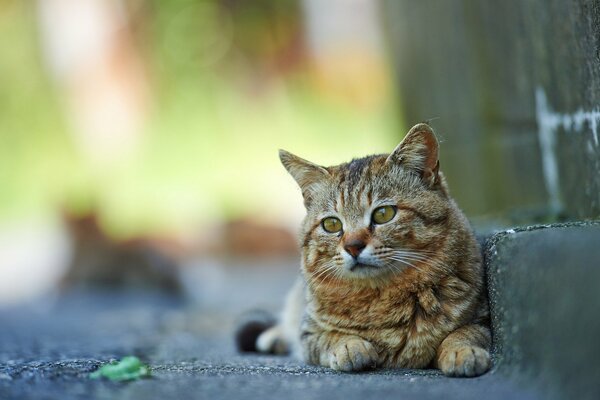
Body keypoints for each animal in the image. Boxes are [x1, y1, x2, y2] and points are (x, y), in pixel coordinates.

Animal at [241, 123, 490, 376]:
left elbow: (465, 332)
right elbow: (329, 337)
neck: (380, 297)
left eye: (383, 214)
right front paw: (350, 347)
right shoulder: (308, 334)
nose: (353, 247)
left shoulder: (482, 316)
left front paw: (461, 350)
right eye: (331, 224)